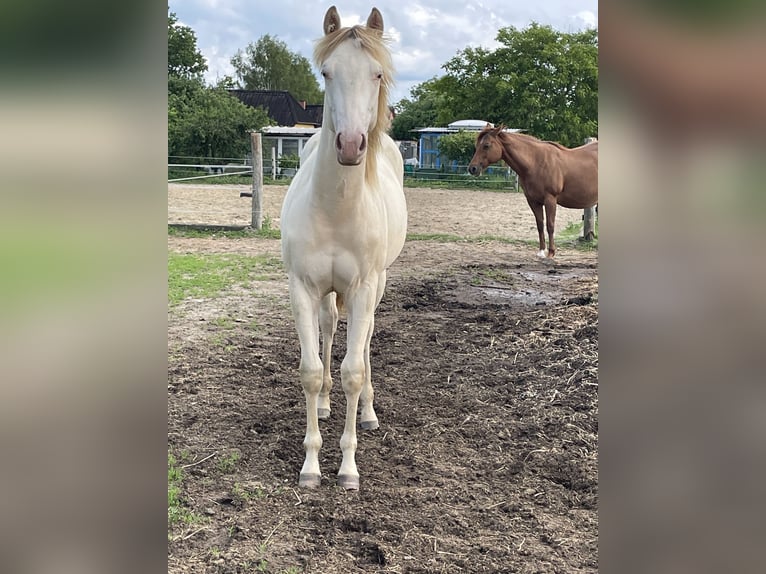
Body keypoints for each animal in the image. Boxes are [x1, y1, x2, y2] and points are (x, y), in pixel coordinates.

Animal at [279, 6, 407, 490]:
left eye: (377, 73)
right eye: (326, 72)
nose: (351, 145)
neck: (335, 210)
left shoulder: (364, 287)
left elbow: (353, 370)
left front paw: (348, 468)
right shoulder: (302, 288)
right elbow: (312, 370)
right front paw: (311, 466)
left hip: (376, 285)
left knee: (364, 342)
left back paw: (368, 412)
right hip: (329, 293)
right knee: (330, 328)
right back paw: (324, 406)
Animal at [468, 125, 598, 258]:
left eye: (486, 145)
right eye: (477, 145)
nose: (472, 168)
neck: (535, 162)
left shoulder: (550, 199)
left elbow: (550, 225)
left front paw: (551, 252)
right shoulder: (533, 201)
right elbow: (540, 225)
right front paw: (541, 251)